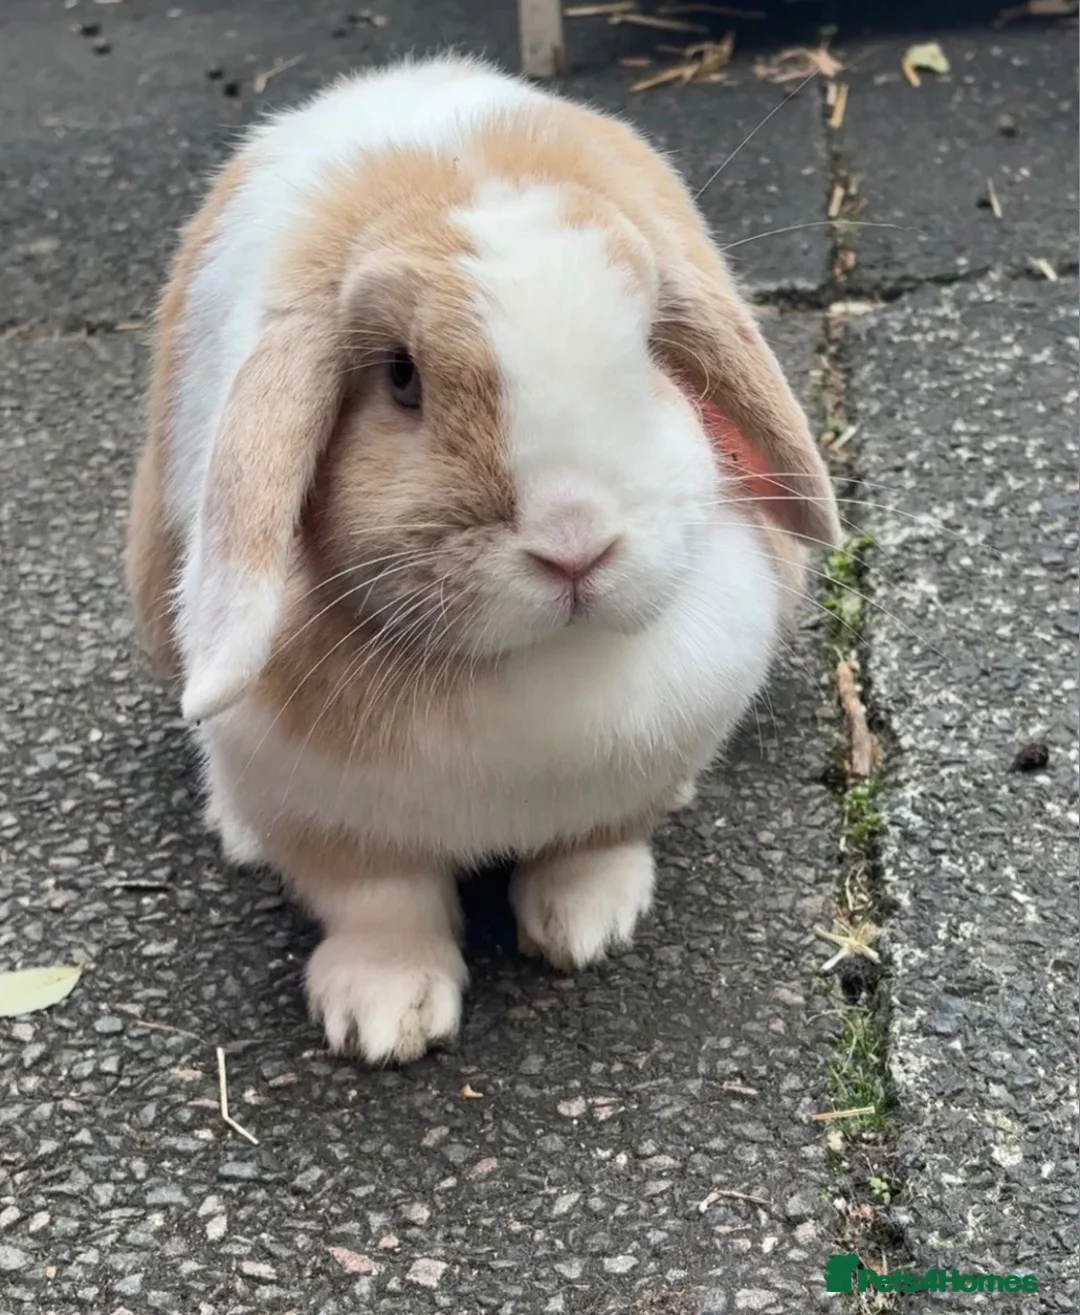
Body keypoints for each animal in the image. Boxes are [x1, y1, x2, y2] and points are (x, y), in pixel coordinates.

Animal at [126, 54, 841, 1064]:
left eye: (647, 351)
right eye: (401, 377)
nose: (576, 542)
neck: (539, 669)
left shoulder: (644, 761)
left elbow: (595, 844)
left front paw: (585, 924)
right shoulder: (329, 819)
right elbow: (380, 904)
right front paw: (384, 1016)